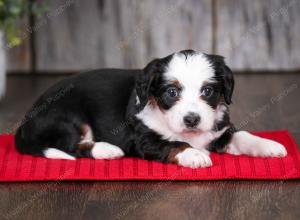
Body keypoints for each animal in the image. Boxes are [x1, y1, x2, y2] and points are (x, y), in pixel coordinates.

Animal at [15, 49, 288, 168]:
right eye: (172, 92)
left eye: (208, 92)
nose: (192, 119)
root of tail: (25, 121)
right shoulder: (143, 139)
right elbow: (173, 143)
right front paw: (194, 154)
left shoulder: (218, 129)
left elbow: (241, 135)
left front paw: (269, 145)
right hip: (68, 118)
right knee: (72, 146)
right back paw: (107, 150)